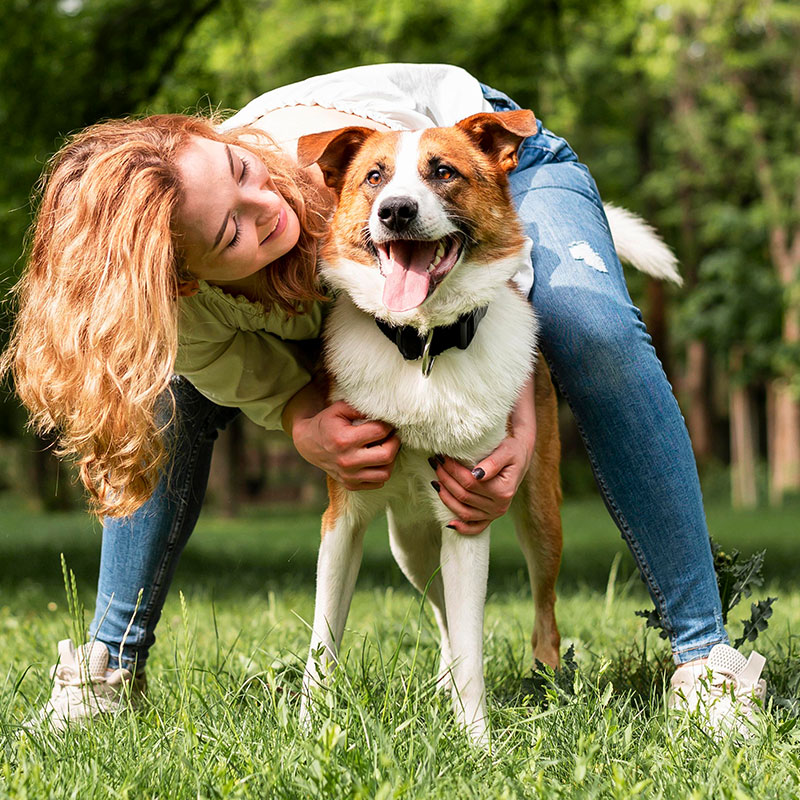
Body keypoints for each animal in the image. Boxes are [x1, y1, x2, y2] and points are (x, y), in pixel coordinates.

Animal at [296, 111, 680, 744]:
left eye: (444, 172)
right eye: (374, 176)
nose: (395, 211)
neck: (423, 346)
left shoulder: (470, 513)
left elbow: (474, 648)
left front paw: (477, 744)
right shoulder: (341, 518)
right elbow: (323, 640)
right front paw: (310, 731)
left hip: (539, 515)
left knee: (541, 618)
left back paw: (545, 688)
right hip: (410, 545)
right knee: (443, 616)